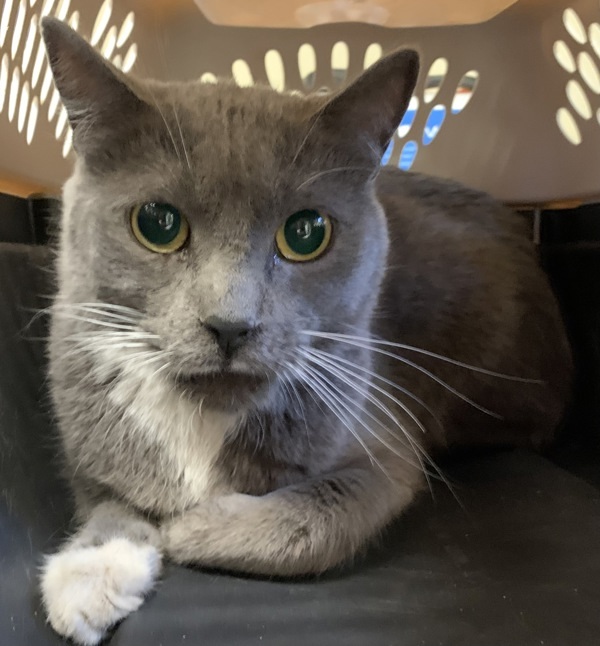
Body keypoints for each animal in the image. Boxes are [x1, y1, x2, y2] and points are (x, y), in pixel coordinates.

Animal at [38, 15, 572, 646]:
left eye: (307, 232)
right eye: (157, 223)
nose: (230, 324)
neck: (207, 418)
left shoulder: (387, 438)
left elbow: (322, 513)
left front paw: (190, 528)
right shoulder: (88, 445)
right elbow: (110, 499)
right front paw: (88, 575)